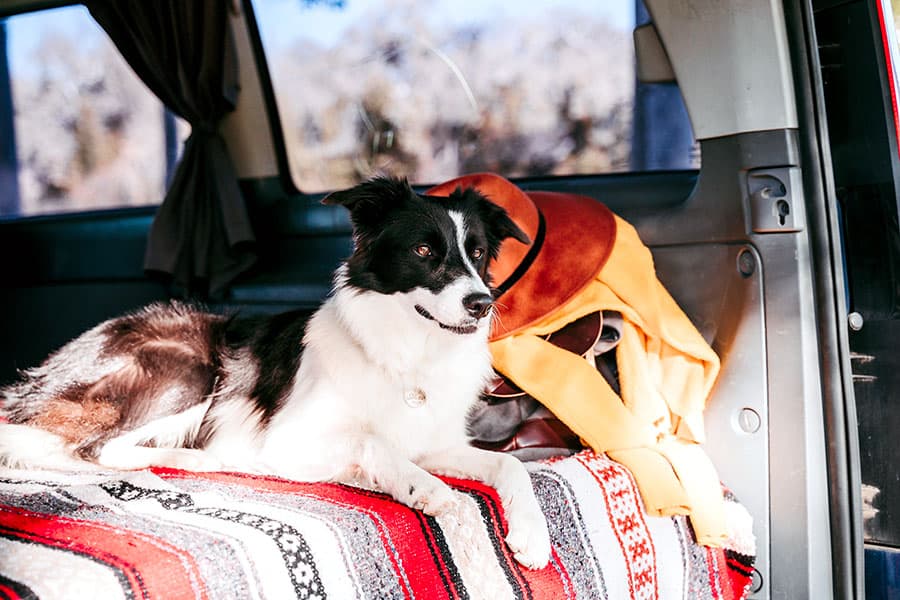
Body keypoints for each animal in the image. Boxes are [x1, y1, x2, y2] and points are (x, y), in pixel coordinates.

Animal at [0, 177, 552, 568]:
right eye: (423, 251)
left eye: (476, 253)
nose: (481, 303)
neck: (406, 353)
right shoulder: (289, 437)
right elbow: (372, 441)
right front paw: (424, 487)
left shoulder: (435, 442)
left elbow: (509, 465)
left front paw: (531, 532)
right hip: (188, 363)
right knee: (92, 450)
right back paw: (202, 459)